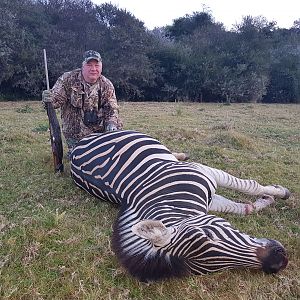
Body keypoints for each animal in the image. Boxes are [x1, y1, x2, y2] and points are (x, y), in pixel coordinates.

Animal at [70, 130, 290, 282]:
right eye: (217, 269)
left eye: (209, 234)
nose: (277, 263)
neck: (172, 201)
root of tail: (74, 150)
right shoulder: (207, 194)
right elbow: (241, 207)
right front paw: (267, 199)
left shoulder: (204, 172)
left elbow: (250, 187)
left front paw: (280, 192)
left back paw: (180, 154)